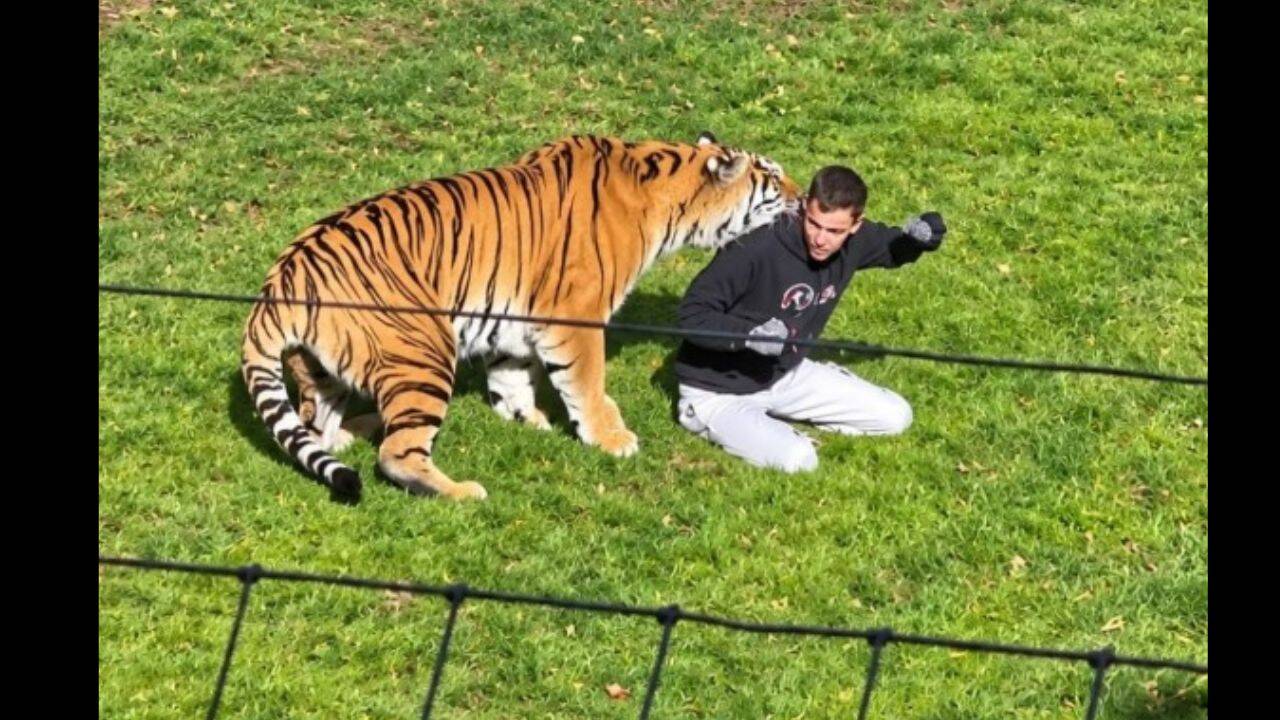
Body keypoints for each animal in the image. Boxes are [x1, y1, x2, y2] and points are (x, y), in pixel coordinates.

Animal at [242, 132, 801, 501]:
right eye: (773, 178)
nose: (800, 197)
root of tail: (282, 278)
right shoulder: (576, 314)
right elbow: (587, 382)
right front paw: (610, 439)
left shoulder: (513, 317)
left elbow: (513, 374)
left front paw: (525, 418)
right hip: (424, 348)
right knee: (397, 454)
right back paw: (461, 491)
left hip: (323, 367)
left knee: (319, 428)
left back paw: (356, 429)